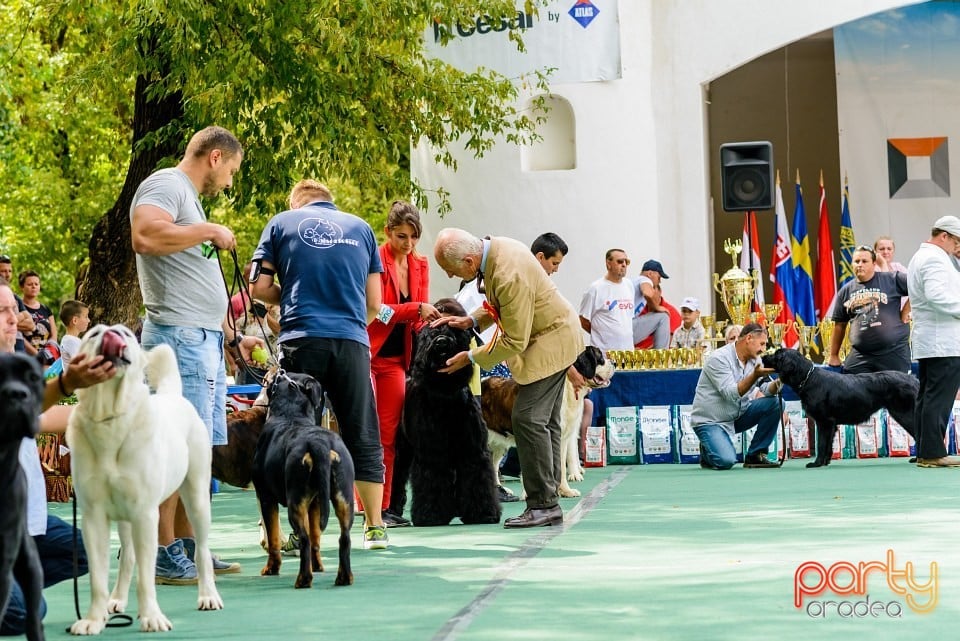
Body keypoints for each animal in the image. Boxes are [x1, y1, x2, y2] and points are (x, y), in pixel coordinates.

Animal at [67, 324, 221, 636]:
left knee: (201, 550)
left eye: (125, 333)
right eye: (94, 334)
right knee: (128, 557)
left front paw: (152, 617)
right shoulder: (93, 517)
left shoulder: (145, 514)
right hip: (125, 518)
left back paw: (208, 596)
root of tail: (173, 395)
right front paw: (93, 619)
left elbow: (147, 576)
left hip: (197, 498)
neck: (111, 418)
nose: (112, 333)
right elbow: (98, 577)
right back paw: (115, 601)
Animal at [402, 322, 502, 528]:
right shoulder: (432, 452)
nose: (441, 342)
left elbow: (476, 478)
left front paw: (483, 513)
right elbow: (432, 480)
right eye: (429, 334)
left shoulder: (472, 450)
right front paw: (430, 515)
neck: (445, 392)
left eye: (453, 332)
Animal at [480, 348, 616, 498]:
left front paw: (565, 491)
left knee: (493, 465)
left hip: (499, 444)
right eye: (599, 357)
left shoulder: (561, 438)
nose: (615, 362)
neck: (567, 385)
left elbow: (560, 465)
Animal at [760, 348, 920, 468]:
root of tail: (913, 379)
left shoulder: (824, 421)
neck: (808, 377)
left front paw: (816, 463)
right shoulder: (831, 424)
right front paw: (825, 462)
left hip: (904, 413)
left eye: (776, 354)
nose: (762, 356)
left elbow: (822, 443)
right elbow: (828, 445)